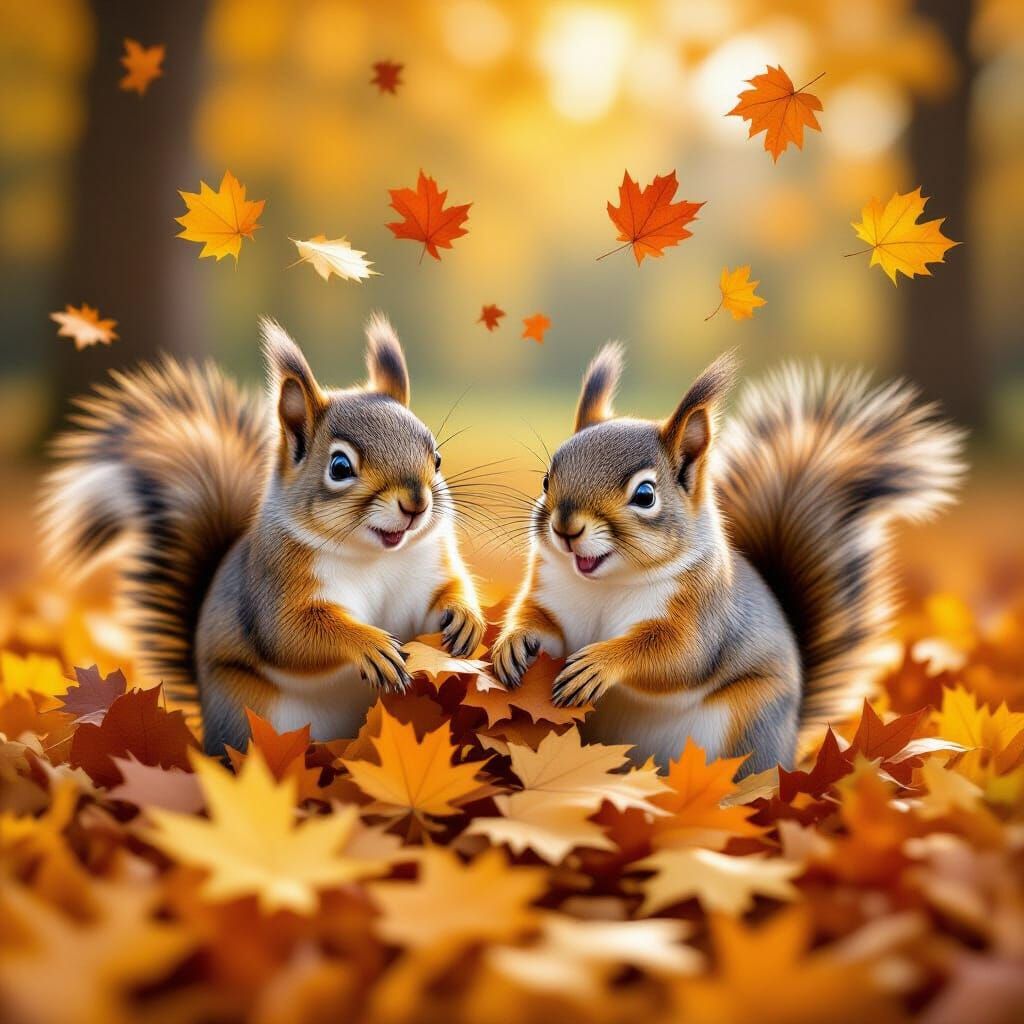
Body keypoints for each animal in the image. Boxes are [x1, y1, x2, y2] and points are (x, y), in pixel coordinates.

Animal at [41, 314, 485, 754]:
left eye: (437, 458)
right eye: (340, 467)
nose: (416, 504)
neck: (375, 556)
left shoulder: (426, 570)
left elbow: (440, 598)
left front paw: (467, 617)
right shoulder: (274, 587)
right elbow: (291, 635)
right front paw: (366, 643)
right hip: (249, 712)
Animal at [491, 344, 964, 774]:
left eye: (645, 495)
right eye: (547, 479)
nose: (565, 528)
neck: (605, 586)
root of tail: (790, 745)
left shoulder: (703, 617)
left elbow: (675, 656)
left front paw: (601, 663)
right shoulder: (553, 593)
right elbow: (541, 623)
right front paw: (513, 641)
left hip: (746, 722)